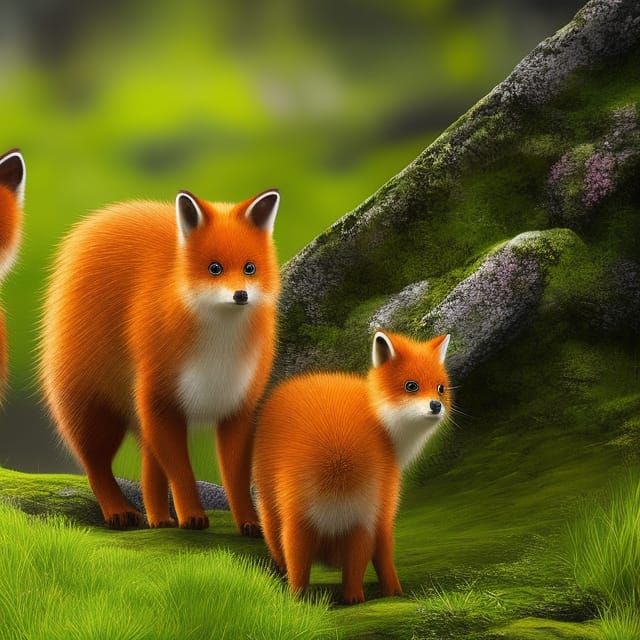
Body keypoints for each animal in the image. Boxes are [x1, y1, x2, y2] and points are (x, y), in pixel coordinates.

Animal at [40, 188, 280, 534]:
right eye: (215, 268)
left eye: (250, 268)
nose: (240, 296)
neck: (218, 352)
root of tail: (100, 218)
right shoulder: (162, 401)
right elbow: (182, 473)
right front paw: (192, 517)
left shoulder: (237, 408)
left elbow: (235, 478)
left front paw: (250, 522)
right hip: (94, 411)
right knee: (96, 467)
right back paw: (119, 512)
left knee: (148, 468)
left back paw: (159, 519)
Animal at [253, 330, 451, 604]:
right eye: (411, 386)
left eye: (441, 388)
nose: (436, 405)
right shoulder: (378, 509)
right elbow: (378, 554)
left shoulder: (363, 516)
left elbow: (360, 559)